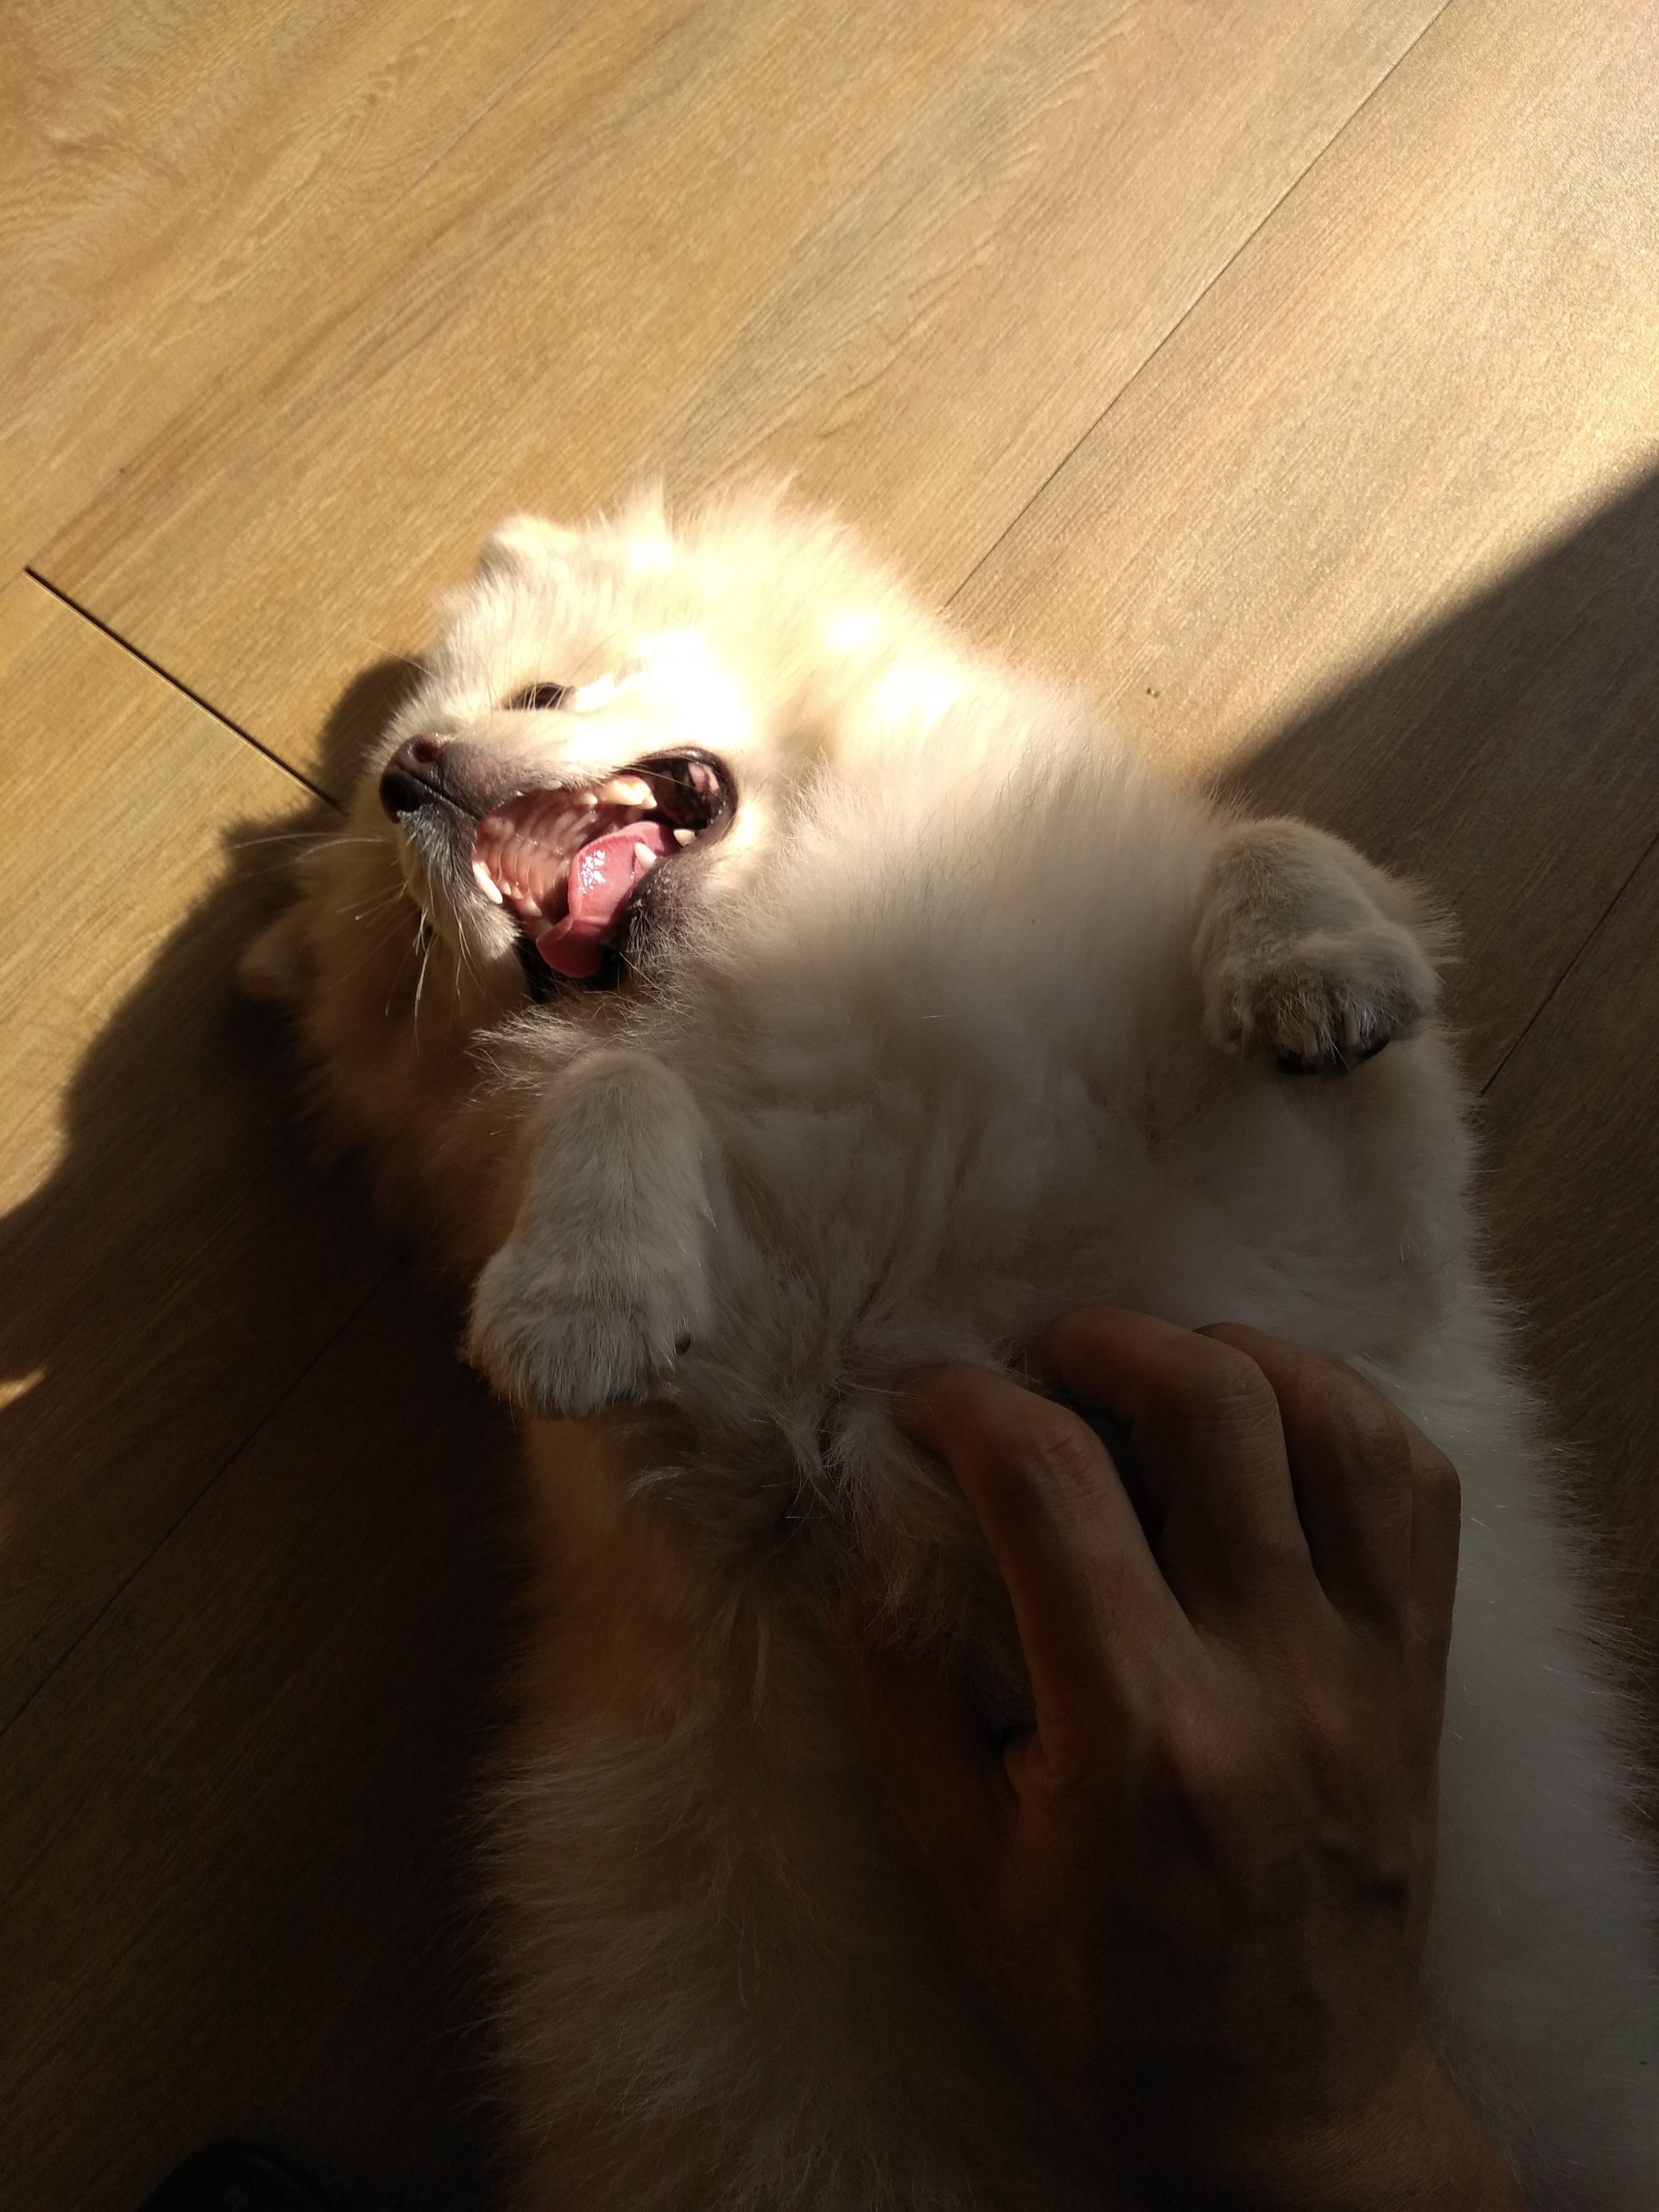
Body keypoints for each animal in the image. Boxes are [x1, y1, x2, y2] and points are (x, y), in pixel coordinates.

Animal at [245, 491, 1659, 2209]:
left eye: (539, 698)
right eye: (399, 875)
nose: (413, 772)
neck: (766, 956)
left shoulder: (1329, 1230)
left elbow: (1272, 841)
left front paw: (1325, 968)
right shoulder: (708, 1484)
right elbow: (606, 1089)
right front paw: (576, 1297)